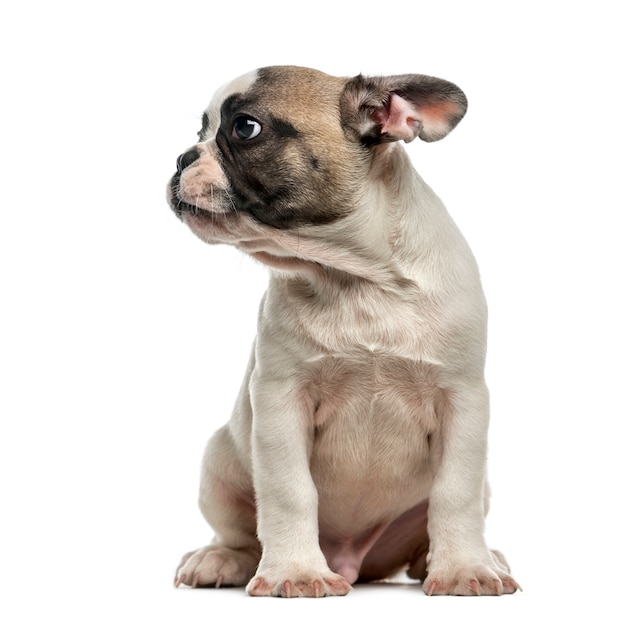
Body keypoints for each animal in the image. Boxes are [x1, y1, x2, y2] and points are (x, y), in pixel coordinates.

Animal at [165, 64, 516, 596]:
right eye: (200, 131)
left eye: (245, 128)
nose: (183, 155)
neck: (357, 278)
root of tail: (354, 561)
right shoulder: (280, 399)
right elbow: (289, 491)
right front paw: (295, 572)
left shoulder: (463, 399)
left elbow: (455, 493)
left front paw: (464, 569)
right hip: (220, 464)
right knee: (241, 534)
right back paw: (220, 559)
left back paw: (460, 558)